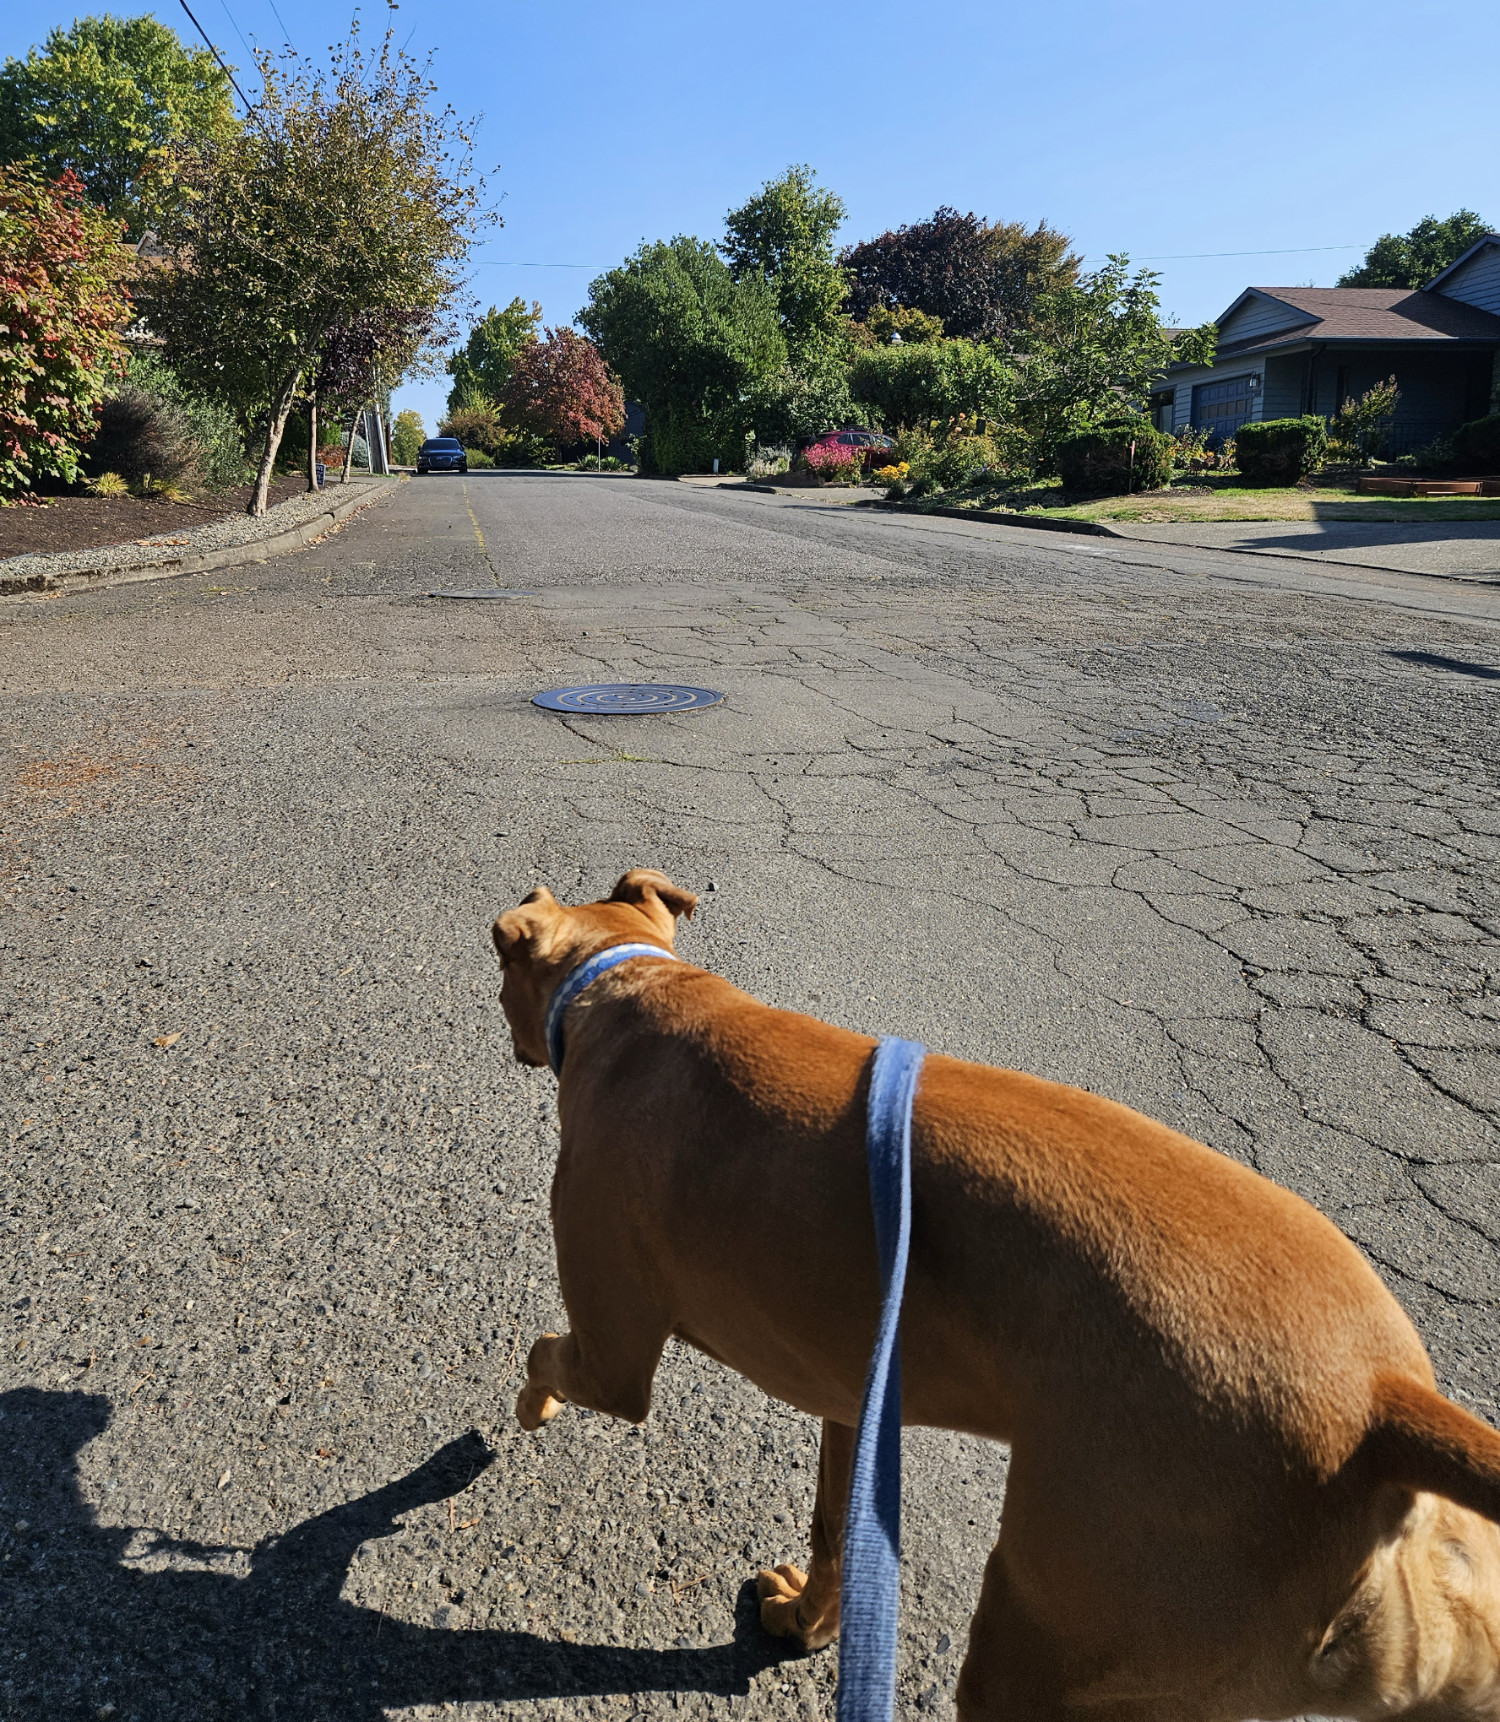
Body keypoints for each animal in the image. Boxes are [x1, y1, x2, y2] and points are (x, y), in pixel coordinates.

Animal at [499, 867, 1500, 1722]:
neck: (628, 982)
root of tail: (1381, 1403)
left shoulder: (617, 1356)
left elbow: (549, 1356)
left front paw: (527, 1406)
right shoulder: (852, 1399)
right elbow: (836, 1532)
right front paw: (808, 1624)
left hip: (1048, 1648)